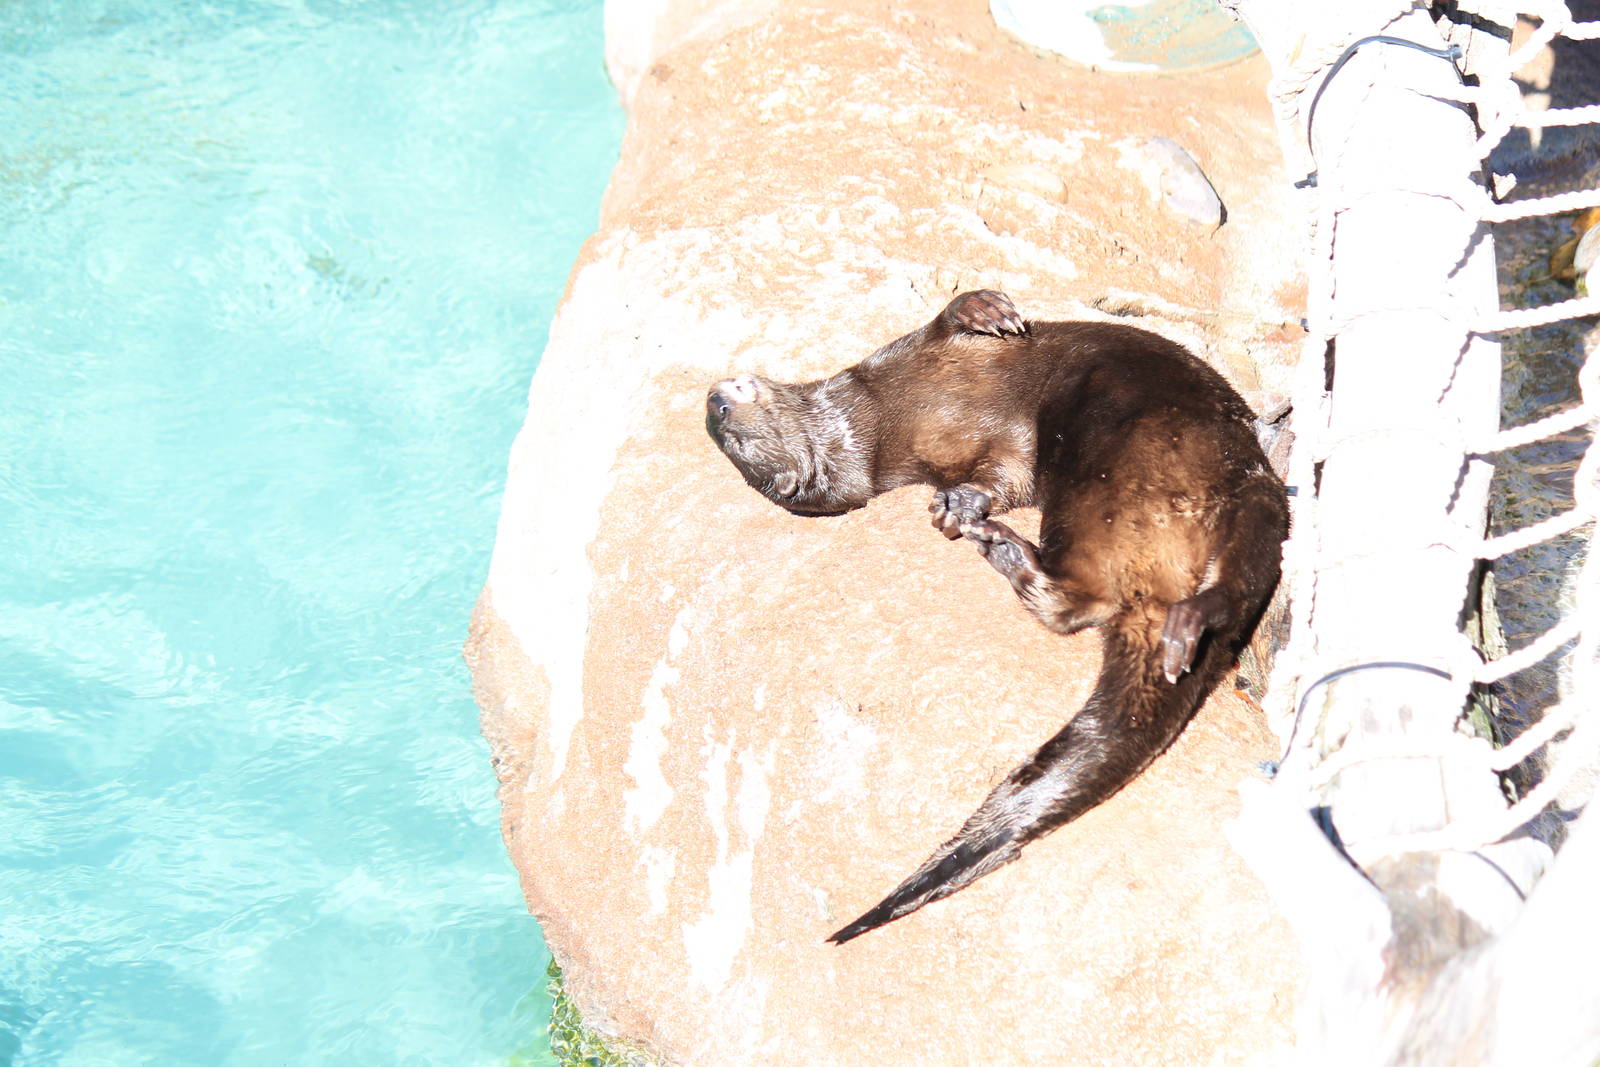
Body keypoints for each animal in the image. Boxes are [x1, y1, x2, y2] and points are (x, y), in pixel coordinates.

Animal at [705, 290, 1288, 944]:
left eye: (726, 432)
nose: (716, 400)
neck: (875, 425)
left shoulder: (914, 358)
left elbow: (952, 330)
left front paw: (988, 311)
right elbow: (999, 478)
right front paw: (960, 509)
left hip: (1251, 500)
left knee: (1230, 575)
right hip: (1113, 510)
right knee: (1081, 603)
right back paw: (1023, 557)